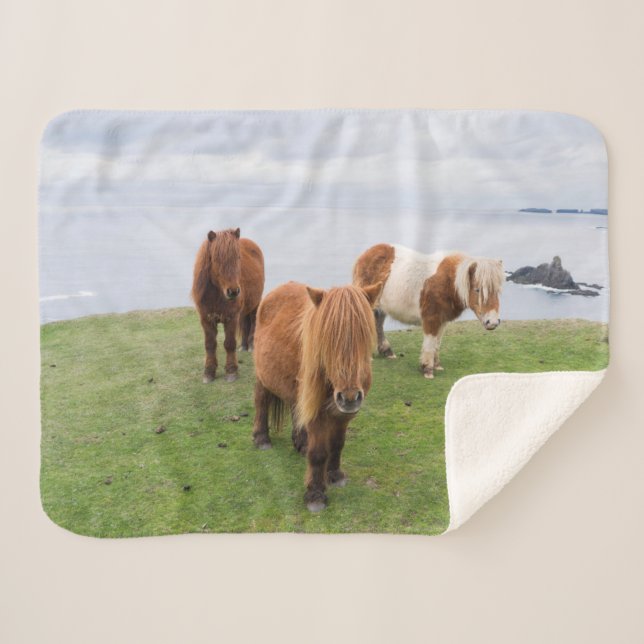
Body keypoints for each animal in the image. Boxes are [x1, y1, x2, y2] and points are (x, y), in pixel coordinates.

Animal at [191, 227, 264, 383]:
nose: (233, 291)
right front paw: (209, 372)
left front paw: (231, 371)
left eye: (238, 257)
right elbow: (210, 344)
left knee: (253, 321)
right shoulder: (206, 319)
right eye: (216, 259)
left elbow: (229, 344)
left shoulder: (231, 318)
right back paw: (244, 346)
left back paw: (251, 345)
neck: (217, 295)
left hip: (255, 303)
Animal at [251, 280, 382, 512]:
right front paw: (315, 494)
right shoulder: (319, 414)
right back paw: (262, 438)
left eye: (364, 336)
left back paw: (301, 443)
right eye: (327, 340)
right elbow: (319, 453)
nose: (349, 397)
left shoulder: (343, 415)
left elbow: (337, 444)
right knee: (261, 403)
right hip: (262, 377)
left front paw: (335, 475)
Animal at [353, 243, 504, 379]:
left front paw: (436, 365)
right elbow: (430, 343)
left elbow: (437, 343)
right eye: (477, 290)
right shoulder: (431, 319)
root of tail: (366, 254)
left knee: (378, 324)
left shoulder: (442, 320)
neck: (448, 281)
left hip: (381, 307)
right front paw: (427, 369)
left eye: (497, 291)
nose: (492, 322)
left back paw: (387, 352)